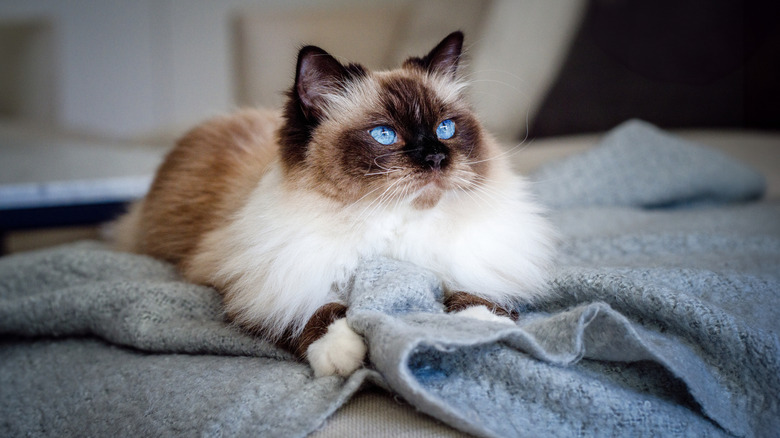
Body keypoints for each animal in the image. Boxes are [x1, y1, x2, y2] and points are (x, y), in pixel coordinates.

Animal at [114, 32, 556, 378]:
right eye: (384, 135)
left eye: (445, 129)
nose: (435, 157)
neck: (392, 223)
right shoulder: (261, 282)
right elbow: (315, 311)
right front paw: (341, 351)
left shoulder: (466, 263)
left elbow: (473, 293)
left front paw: (480, 326)